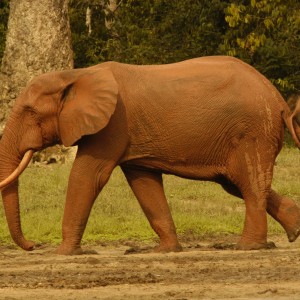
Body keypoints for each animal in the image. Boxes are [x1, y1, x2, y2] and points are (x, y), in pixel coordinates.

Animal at [0, 55, 300, 254]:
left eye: (30, 112)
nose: (33, 245)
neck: (76, 75)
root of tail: (278, 99)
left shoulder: (112, 124)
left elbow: (88, 176)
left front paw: (64, 253)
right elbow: (144, 183)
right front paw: (166, 251)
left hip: (252, 132)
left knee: (249, 185)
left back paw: (248, 247)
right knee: (236, 184)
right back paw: (294, 230)